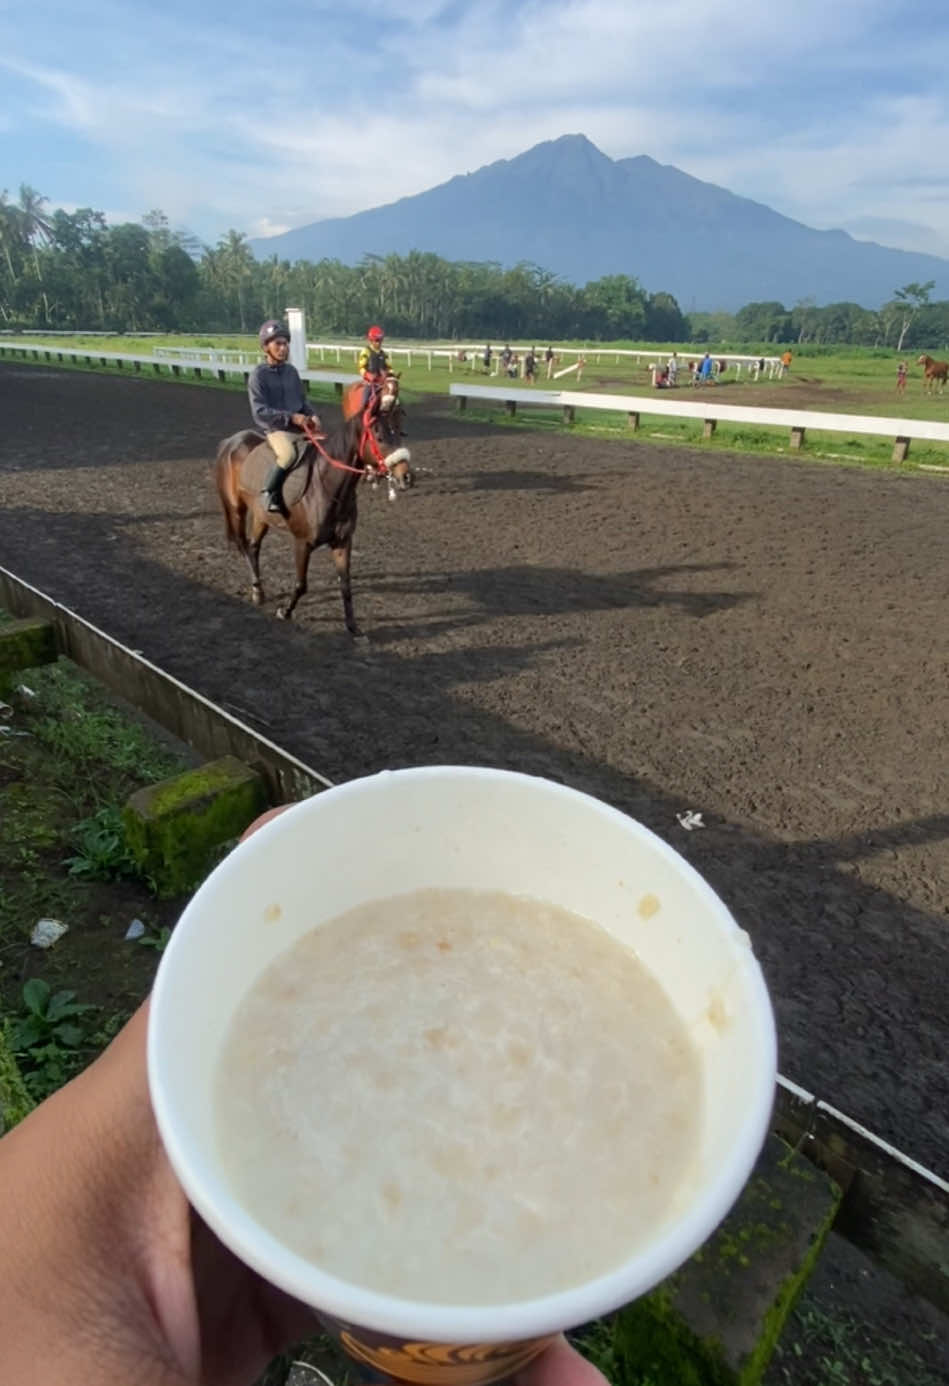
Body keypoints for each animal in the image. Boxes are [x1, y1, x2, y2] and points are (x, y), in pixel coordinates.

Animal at [214, 407, 404, 632]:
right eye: (380, 437)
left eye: (399, 432)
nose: (405, 475)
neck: (326, 487)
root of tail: (230, 441)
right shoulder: (302, 543)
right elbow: (301, 584)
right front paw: (285, 612)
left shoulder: (342, 542)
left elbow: (345, 585)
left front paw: (353, 628)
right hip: (236, 508)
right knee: (243, 544)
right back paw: (258, 590)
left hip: (261, 516)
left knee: (253, 546)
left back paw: (258, 592)